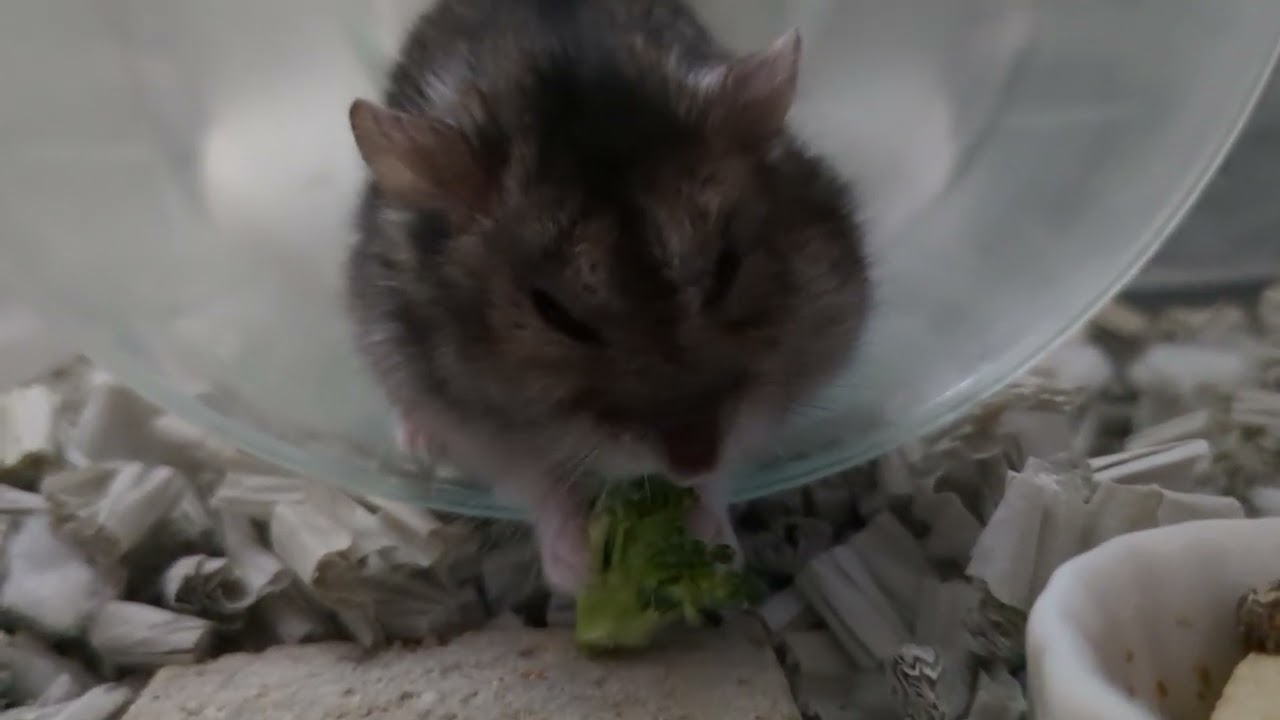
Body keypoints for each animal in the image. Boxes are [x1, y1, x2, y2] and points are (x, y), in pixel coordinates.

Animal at [345, 0, 869, 595]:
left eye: (726, 268)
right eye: (556, 313)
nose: (692, 460)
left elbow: (731, 462)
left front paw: (714, 545)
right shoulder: (467, 414)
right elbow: (536, 480)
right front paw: (579, 575)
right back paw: (415, 442)